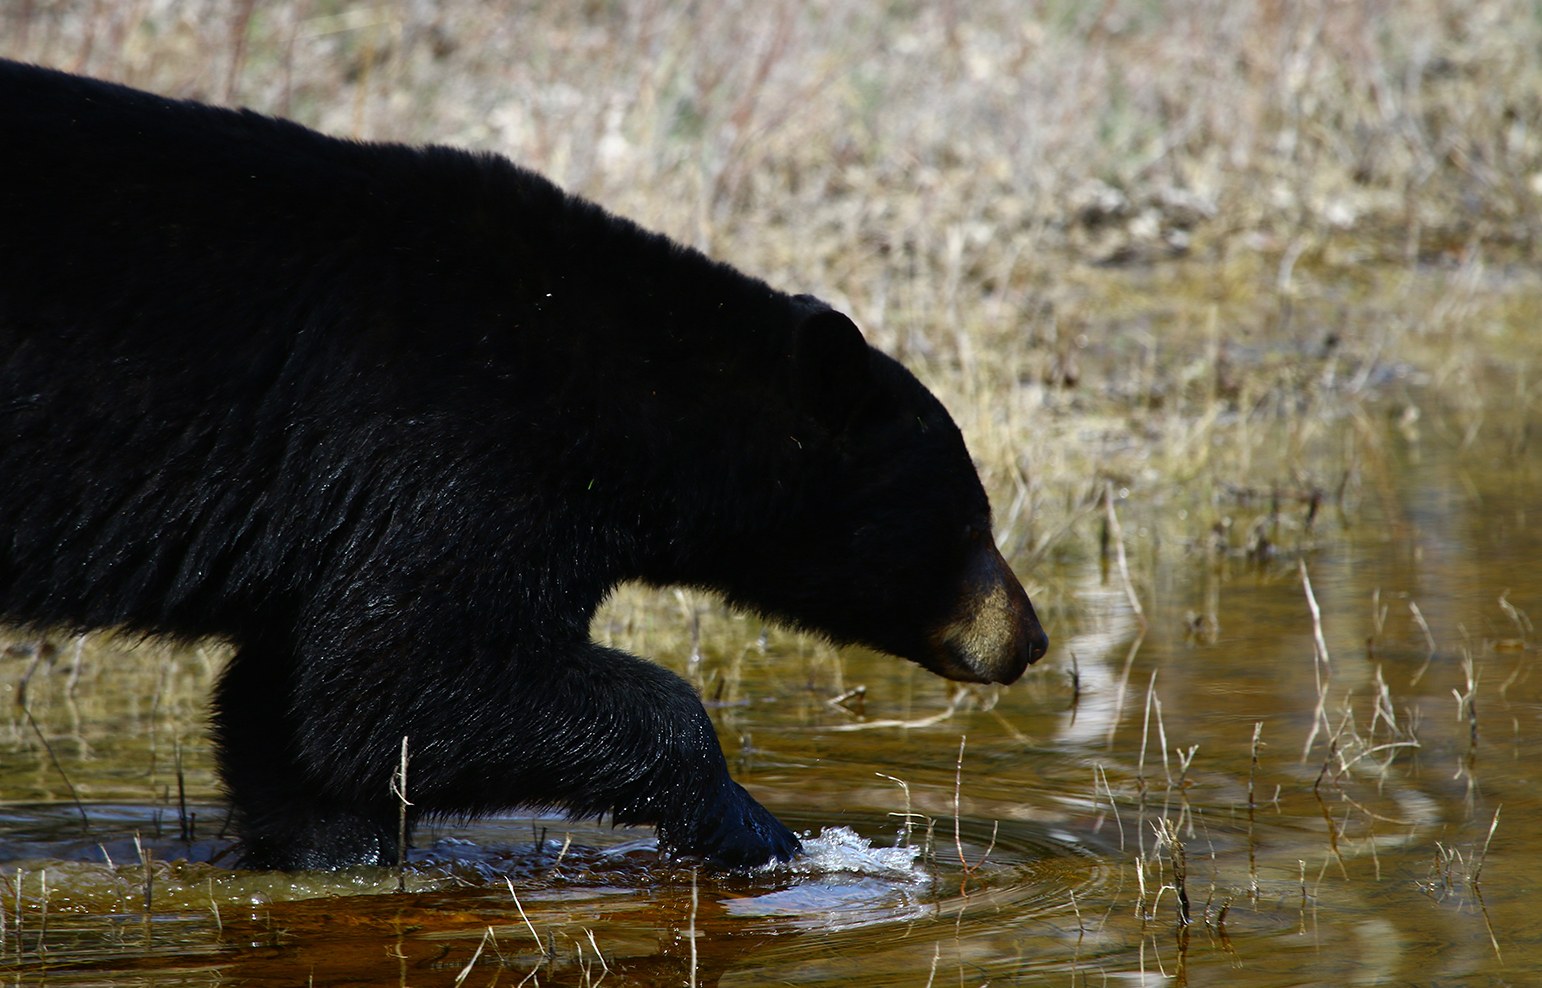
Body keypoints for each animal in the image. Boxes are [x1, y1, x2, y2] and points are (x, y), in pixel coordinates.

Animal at [0, 59, 1048, 870]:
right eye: (972, 521)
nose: (1030, 638)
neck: (636, 387)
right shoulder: (455, 452)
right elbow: (416, 676)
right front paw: (752, 829)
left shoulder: (343, 525)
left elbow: (304, 712)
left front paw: (332, 853)